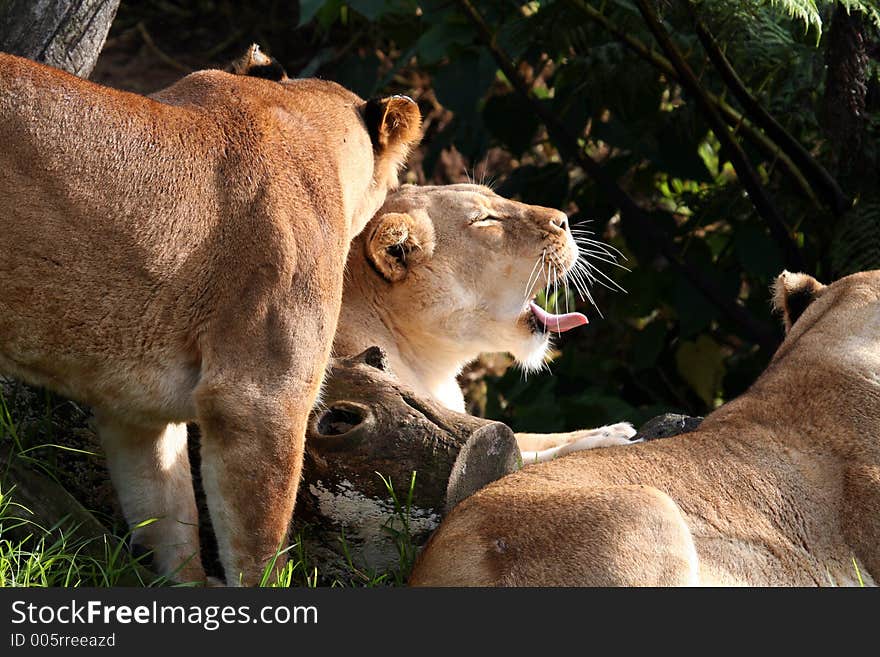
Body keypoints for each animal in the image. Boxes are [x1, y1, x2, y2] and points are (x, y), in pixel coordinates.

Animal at [334, 184, 636, 462]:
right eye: (484, 219)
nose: (564, 220)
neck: (433, 369)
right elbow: (518, 455)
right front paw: (603, 440)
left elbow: (527, 435)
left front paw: (613, 428)